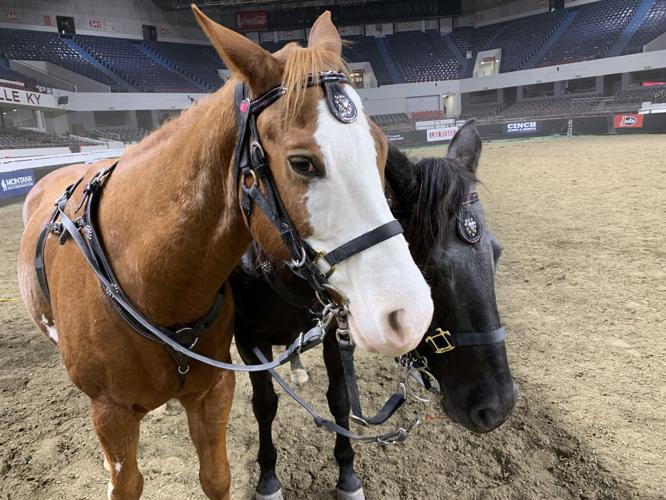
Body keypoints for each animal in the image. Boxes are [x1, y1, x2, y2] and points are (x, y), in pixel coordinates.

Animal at [16, 9, 433, 499]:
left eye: (382, 150)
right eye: (302, 163)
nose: (408, 314)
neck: (148, 280)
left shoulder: (214, 390)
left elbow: (223, 472)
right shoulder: (112, 416)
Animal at [231, 121, 518, 500]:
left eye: (496, 254)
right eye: (427, 272)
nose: (498, 407)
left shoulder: (335, 332)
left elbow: (339, 401)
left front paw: (347, 476)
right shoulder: (247, 341)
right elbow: (264, 406)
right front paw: (268, 478)